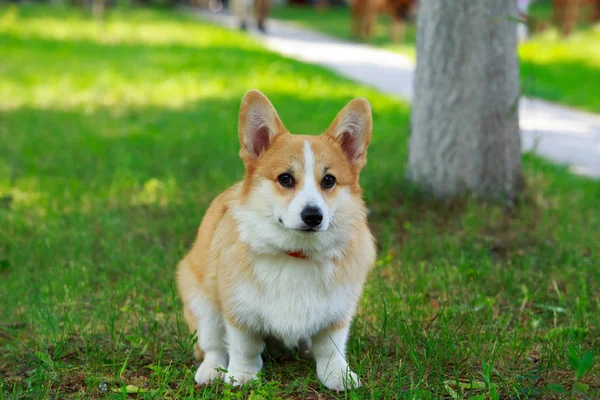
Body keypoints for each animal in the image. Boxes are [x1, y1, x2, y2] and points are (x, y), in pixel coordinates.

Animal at [176, 90, 378, 390]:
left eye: (329, 180)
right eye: (285, 178)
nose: (313, 216)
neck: (296, 253)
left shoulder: (338, 310)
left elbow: (331, 347)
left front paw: (337, 374)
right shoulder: (238, 309)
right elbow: (244, 345)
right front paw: (243, 375)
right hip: (202, 304)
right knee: (212, 345)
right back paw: (211, 370)